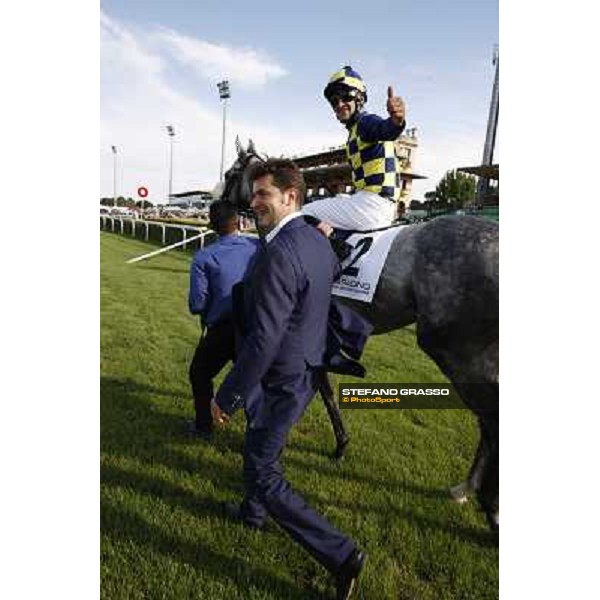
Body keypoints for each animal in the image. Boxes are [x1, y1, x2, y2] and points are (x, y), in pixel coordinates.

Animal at [219, 144, 496, 528]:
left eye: (230, 174)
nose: (216, 205)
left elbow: (319, 386)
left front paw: (333, 444)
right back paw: (469, 490)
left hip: (459, 352)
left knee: (489, 418)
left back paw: (483, 500)